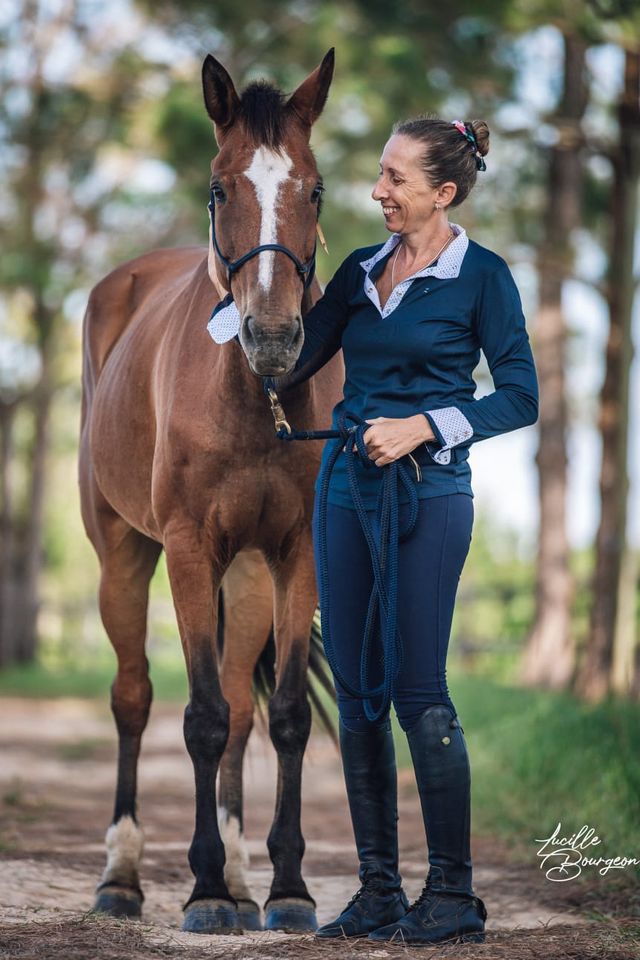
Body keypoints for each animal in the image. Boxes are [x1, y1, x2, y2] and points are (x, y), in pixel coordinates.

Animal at [78, 48, 343, 934]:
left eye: (316, 189)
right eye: (220, 189)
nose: (274, 337)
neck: (256, 398)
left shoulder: (296, 555)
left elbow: (283, 717)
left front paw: (287, 888)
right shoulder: (191, 552)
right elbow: (196, 717)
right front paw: (200, 891)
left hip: (250, 575)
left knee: (240, 709)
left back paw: (237, 875)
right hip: (124, 556)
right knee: (134, 697)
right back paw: (124, 877)